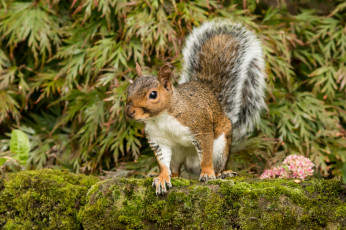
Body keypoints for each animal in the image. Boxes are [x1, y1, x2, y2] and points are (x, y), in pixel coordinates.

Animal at [125, 20, 266, 195]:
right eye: (128, 90)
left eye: (153, 94)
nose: (129, 112)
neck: (162, 117)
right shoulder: (159, 139)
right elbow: (163, 163)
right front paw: (162, 178)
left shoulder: (201, 129)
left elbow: (205, 158)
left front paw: (207, 173)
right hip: (178, 154)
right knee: (176, 171)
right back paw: (160, 175)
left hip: (220, 147)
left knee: (216, 164)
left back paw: (222, 173)